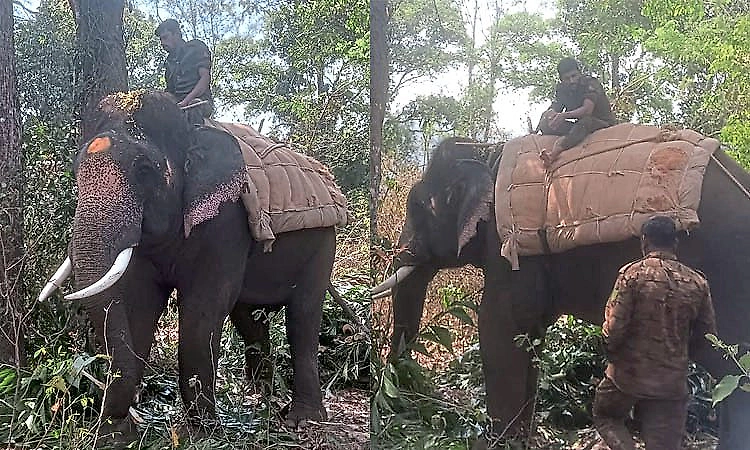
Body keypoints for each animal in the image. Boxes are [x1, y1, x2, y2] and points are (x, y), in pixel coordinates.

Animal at [39, 91, 337, 443]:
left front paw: (201, 433)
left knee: (303, 315)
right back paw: (260, 401)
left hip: (324, 244)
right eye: (75, 171)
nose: (115, 422)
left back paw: (302, 419)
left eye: (144, 170)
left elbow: (203, 307)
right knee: (249, 318)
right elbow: (140, 303)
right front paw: (117, 435)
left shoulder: (226, 220)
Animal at [375, 136, 750, 449]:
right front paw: (520, 438)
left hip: (727, 278)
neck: (486, 150)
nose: (403, 395)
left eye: (418, 208)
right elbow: (530, 332)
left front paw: (498, 443)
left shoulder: (512, 251)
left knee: (733, 378)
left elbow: (498, 327)